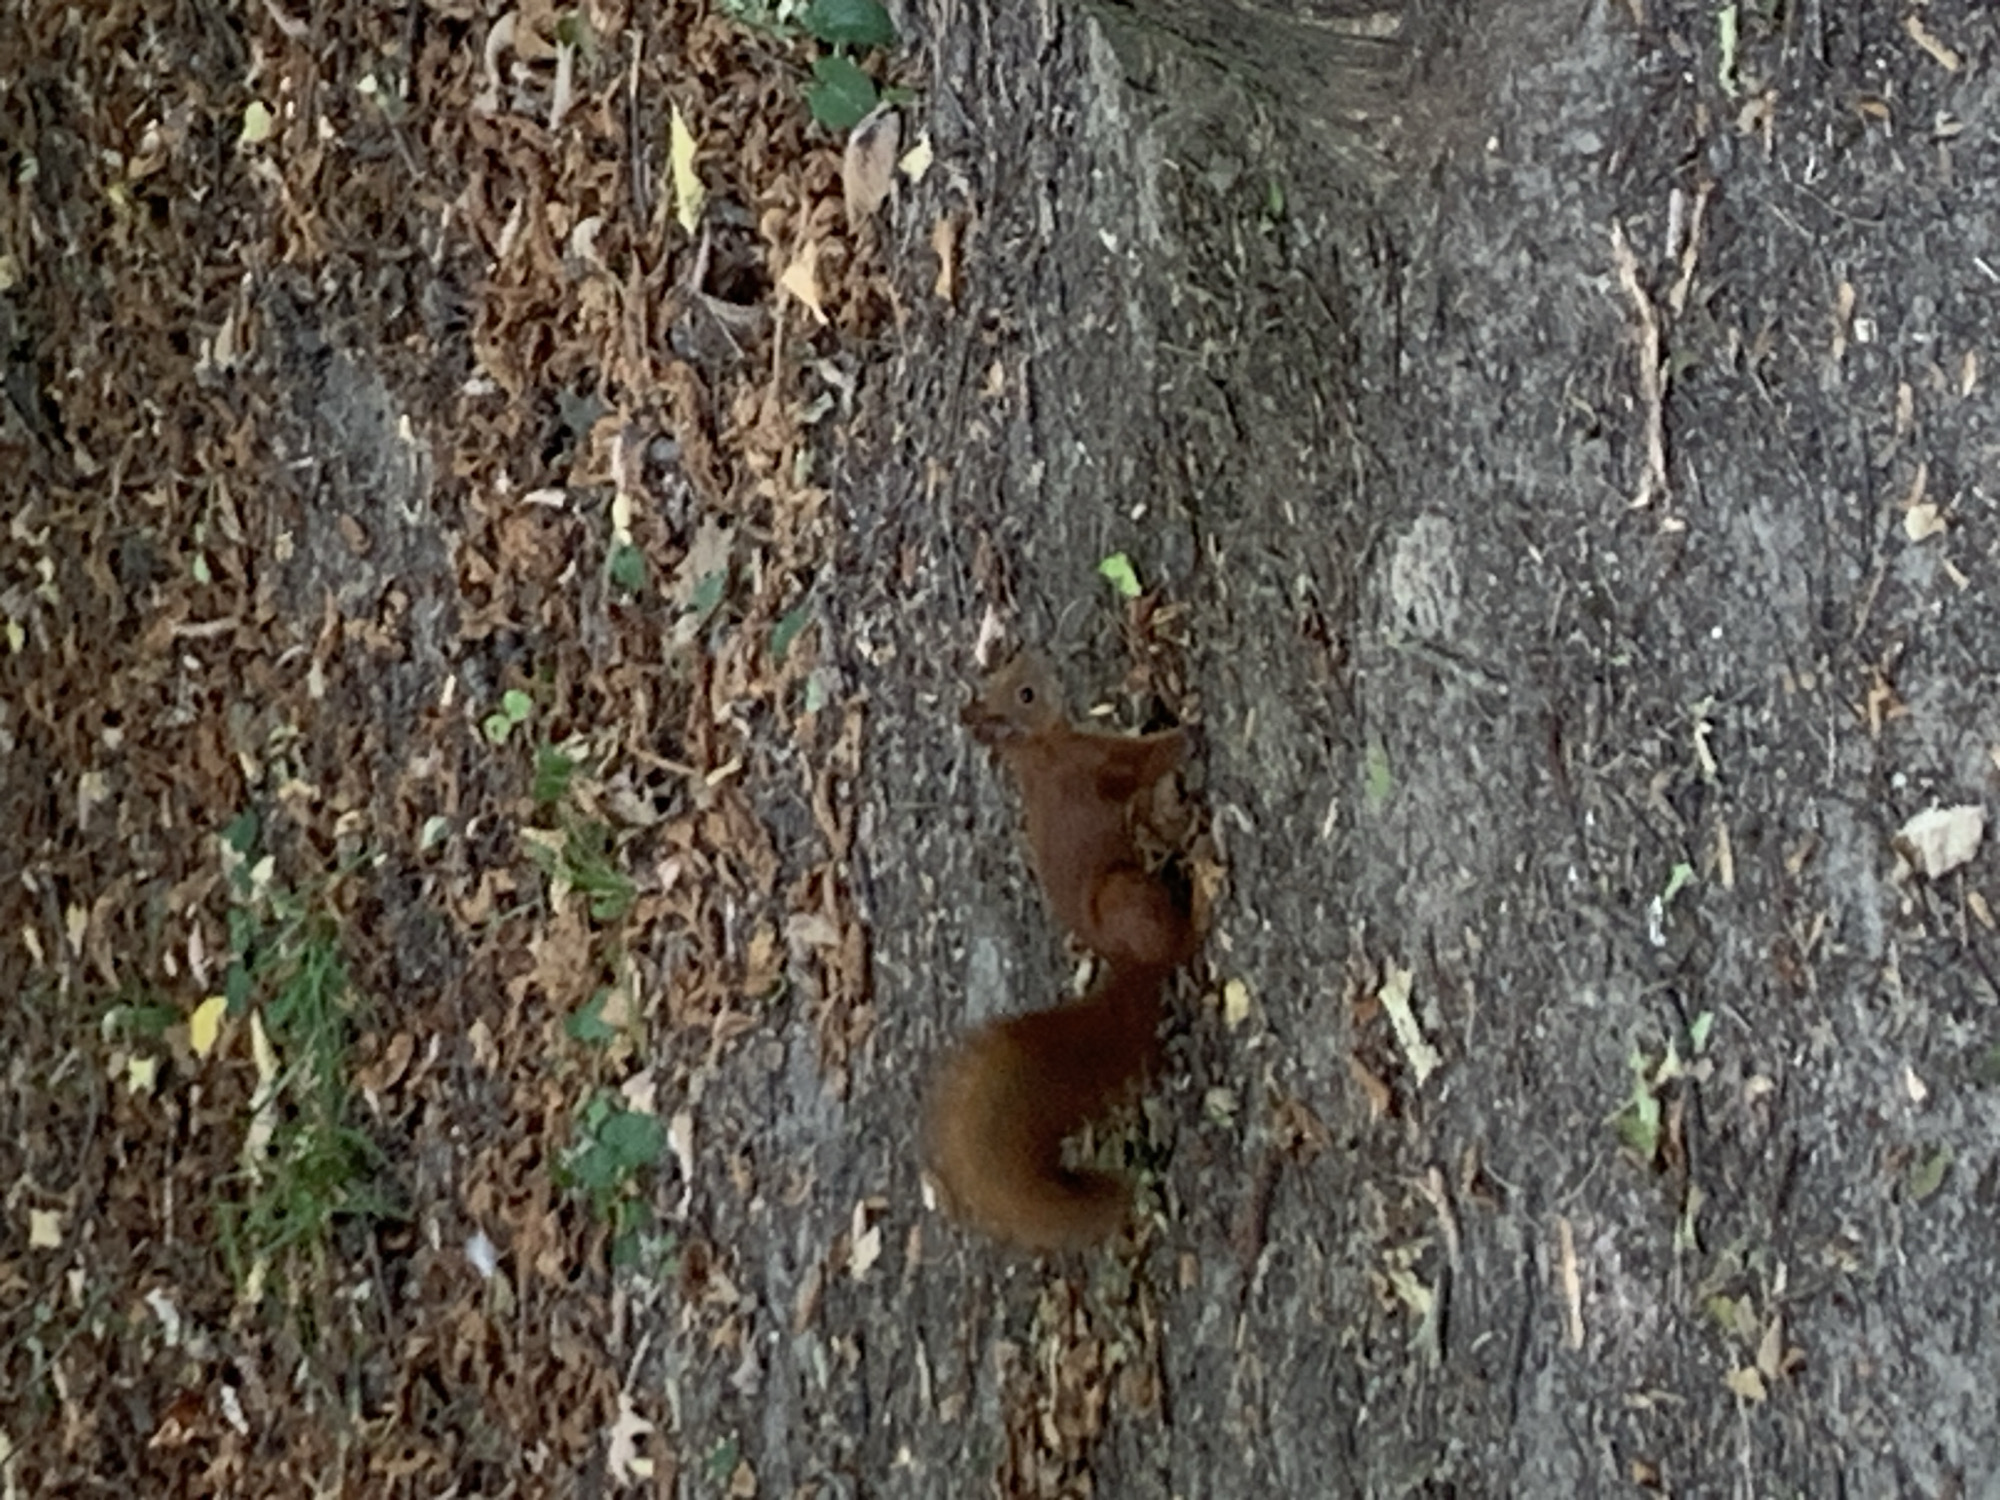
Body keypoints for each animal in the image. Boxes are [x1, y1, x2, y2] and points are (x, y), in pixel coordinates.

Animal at [923, 650, 1197, 1252]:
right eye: (1026, 694)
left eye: (1009, 677)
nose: (1036, 657)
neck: (1042, 752)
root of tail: (1129, 966)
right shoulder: (1098, 765)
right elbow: (1144, 761)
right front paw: (1188, 731)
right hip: (1126, 897)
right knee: (1179, 946)